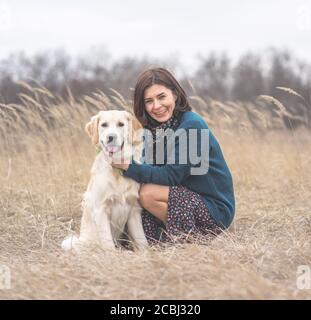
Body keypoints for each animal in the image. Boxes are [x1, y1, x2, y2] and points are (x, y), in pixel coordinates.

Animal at [62, 111, 149, 251]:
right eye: (104, 125)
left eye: (121, 124)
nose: (111, 137)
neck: (117, 171)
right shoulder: (101, 210)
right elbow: (108, 242)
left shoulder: (134, 209)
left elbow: (141, 239)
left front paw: (146, 252)